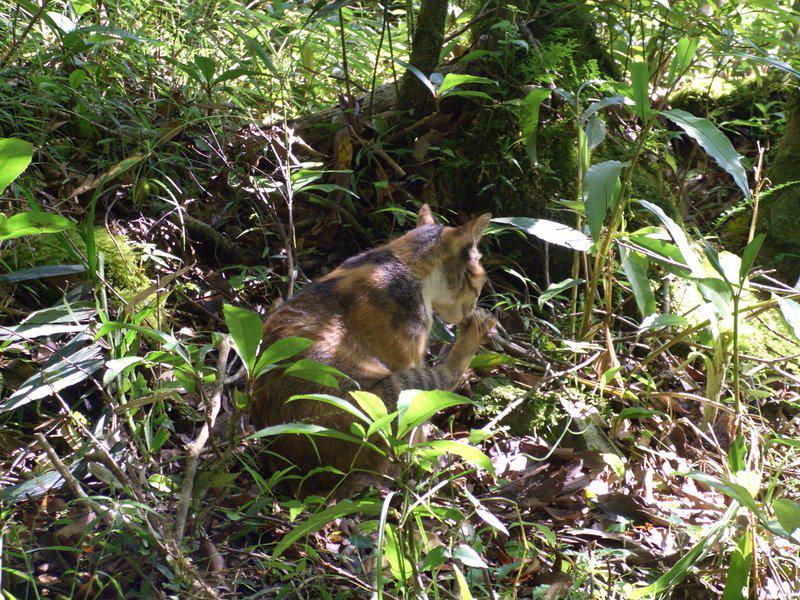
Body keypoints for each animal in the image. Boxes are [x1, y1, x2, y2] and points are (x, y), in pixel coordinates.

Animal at [250, 204, 496, 496]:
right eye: (480, 276)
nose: (476, 303)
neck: (402, 261)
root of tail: (305, 484)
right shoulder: (408, 355)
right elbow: (417, 427)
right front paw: (424, 457)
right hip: (387, 394)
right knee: (442, 381)